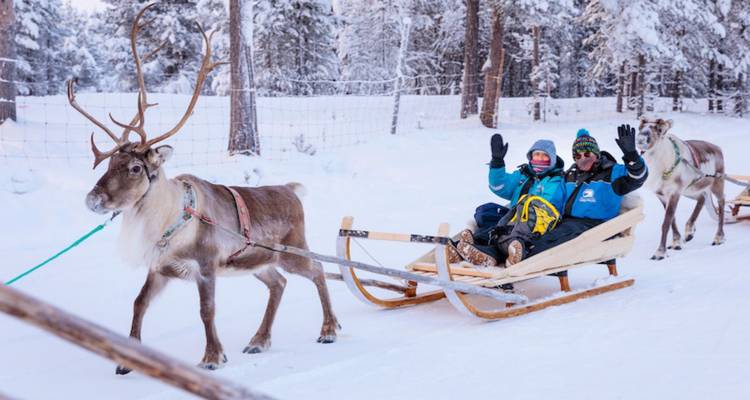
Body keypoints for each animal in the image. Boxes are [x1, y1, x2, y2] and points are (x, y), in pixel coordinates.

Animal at [69, 4, 339, 373]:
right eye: (109, 164)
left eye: (136, 168)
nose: (93, 199)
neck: (167, 220)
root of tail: (290, 190)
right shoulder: (160, 268)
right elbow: (138, 303)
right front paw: (127, 360)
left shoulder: (207, 266)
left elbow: (206, 311)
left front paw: (212, 356)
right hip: (257, 261)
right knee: (279, 283)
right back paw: (259, 340)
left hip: (291, 250)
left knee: (318, 270)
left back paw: (328, 329)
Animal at [636, 117, 726, 260]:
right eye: (640, 128)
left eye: (660, 129)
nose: (641, 139)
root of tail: (718, 149)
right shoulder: (662, 195)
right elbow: (672, 219)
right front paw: (676, 242)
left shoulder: (674, 193)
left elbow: (666, 223)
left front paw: (660, 252)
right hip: (691, 190)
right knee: (702, 198)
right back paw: (689, 231)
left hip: (717, 183)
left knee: (721, 203)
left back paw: (718, 238)